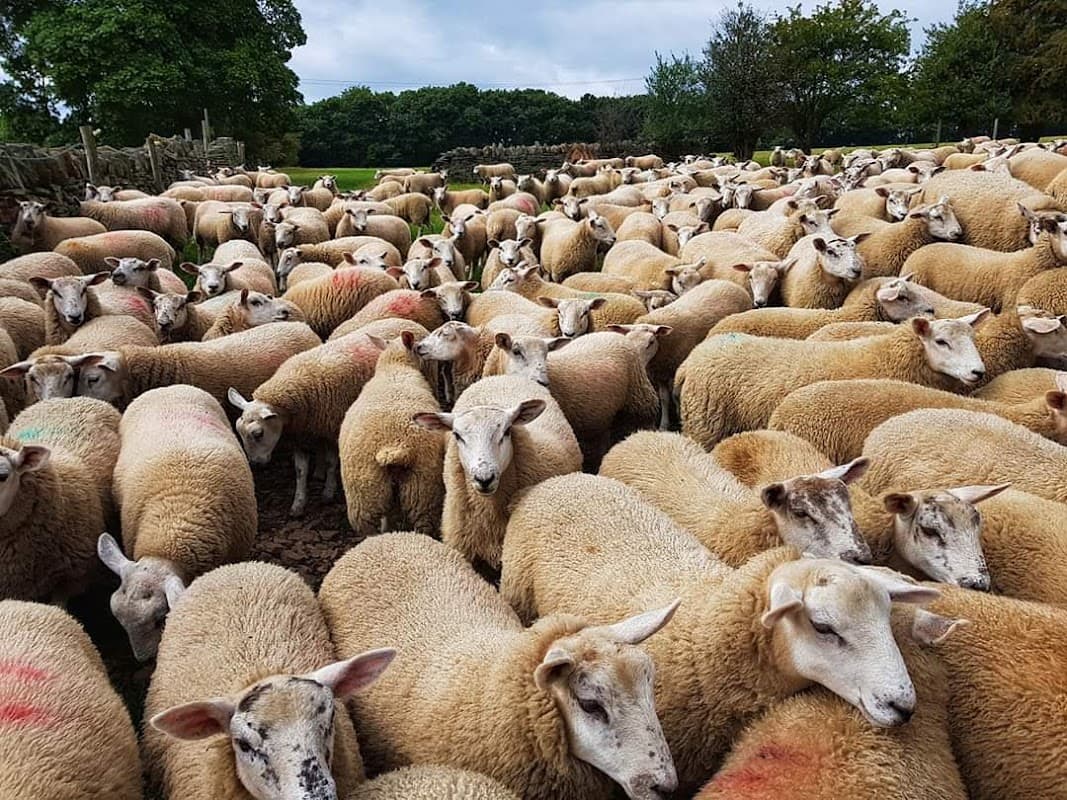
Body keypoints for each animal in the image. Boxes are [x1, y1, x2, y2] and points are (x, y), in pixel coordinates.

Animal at [677, 312, 990, 449]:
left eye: (973, 338)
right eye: (941, 342)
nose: (978, 372)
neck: (885, 355)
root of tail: (689, 361)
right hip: (705, 425)